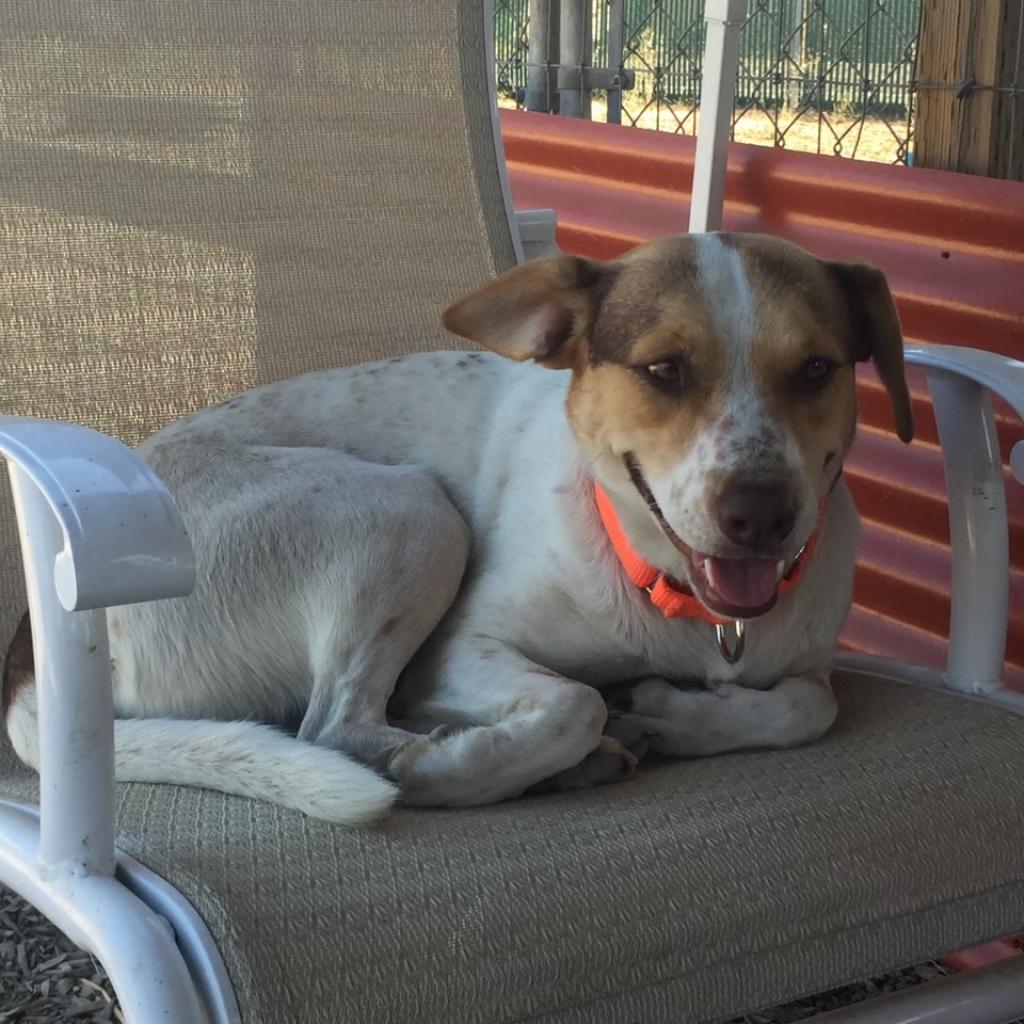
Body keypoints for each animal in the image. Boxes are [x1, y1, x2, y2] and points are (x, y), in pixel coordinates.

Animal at [0, 232, 913, 823]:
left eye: (818, 368)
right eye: (663, 369)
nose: (761, 514)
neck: (685, 608)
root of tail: (31, 652)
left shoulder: (806, 662)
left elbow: (807, 706)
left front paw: (673, 714)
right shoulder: (457, 651)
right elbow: (575, 700)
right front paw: (455, 765)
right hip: (411, 513)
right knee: (332, 724)